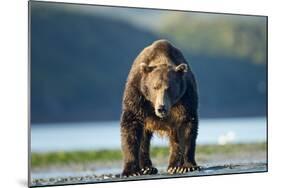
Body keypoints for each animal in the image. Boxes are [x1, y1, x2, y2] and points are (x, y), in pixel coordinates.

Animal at [119, 38, 198, 176]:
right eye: (155, 87)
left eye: (169, 88)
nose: (161, 108)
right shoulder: (138, 94)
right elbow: (131, 126)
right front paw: (131, 170)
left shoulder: (186, 97)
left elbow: (187, 127)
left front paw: (187, 166)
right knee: (144, 140)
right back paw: (147, 168)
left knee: (175, 139)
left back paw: (174, 166)